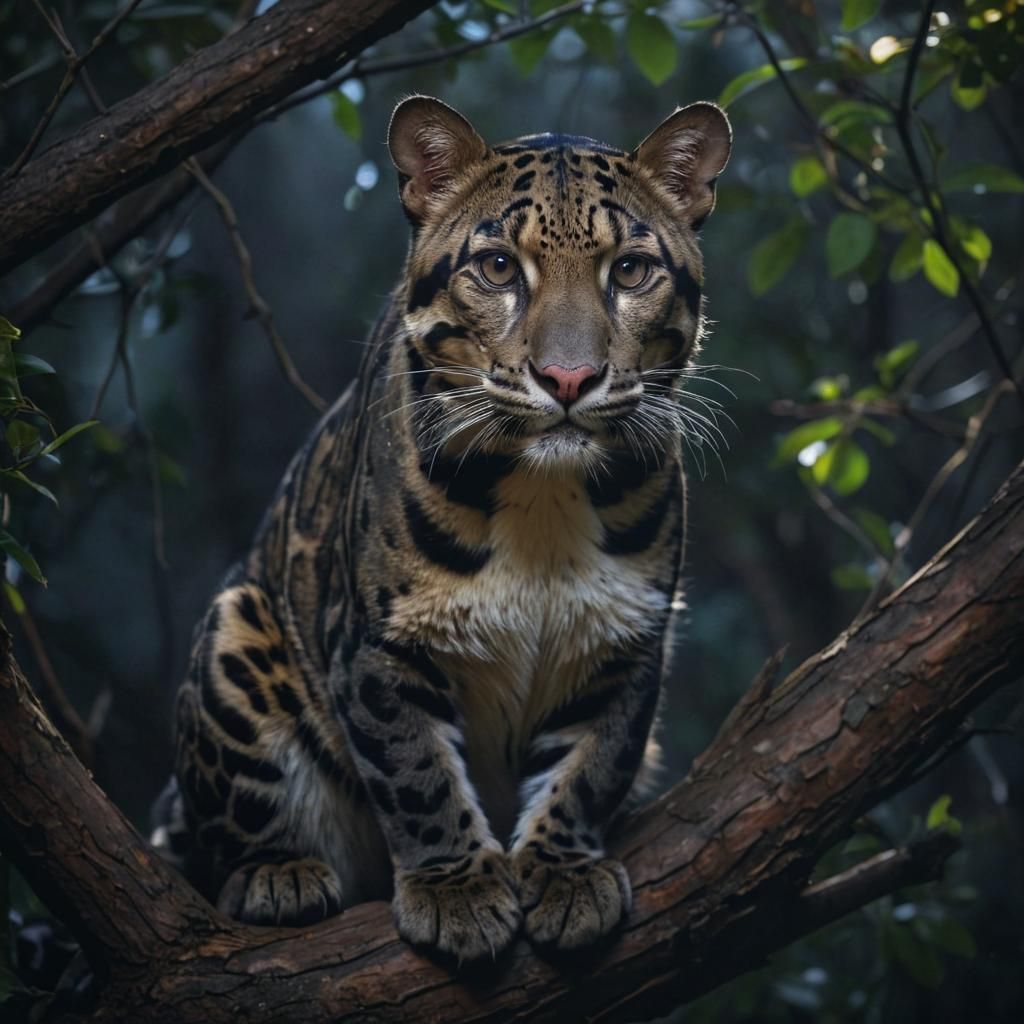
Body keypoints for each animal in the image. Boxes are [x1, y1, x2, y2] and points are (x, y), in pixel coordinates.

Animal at [150, 94, 732, 963]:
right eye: (497, 269)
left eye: (630, 272)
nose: (568, 379)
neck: (542, 498)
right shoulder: (380, 646)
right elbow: (416, 773)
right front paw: (457, 892)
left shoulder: (625, 644)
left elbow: (589, 768)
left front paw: (563, 874)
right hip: (238, 624)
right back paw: (279, 875)